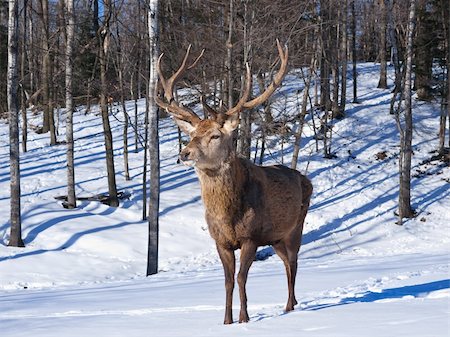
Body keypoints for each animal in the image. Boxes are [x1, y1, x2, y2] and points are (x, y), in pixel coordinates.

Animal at [155, 40, 312, 322]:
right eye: (192, 134)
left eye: (215, 135)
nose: (184, 153)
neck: (227, 215)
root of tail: (306, 179)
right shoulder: (221, 241)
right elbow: (227, 280)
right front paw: (226, 320)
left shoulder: (251, 236)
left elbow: (241, 277)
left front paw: (244, 318)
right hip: (276, 238)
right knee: (286, 262)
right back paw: (291, 303)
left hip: (295, 226)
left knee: (294, 262)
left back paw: (289, 306)